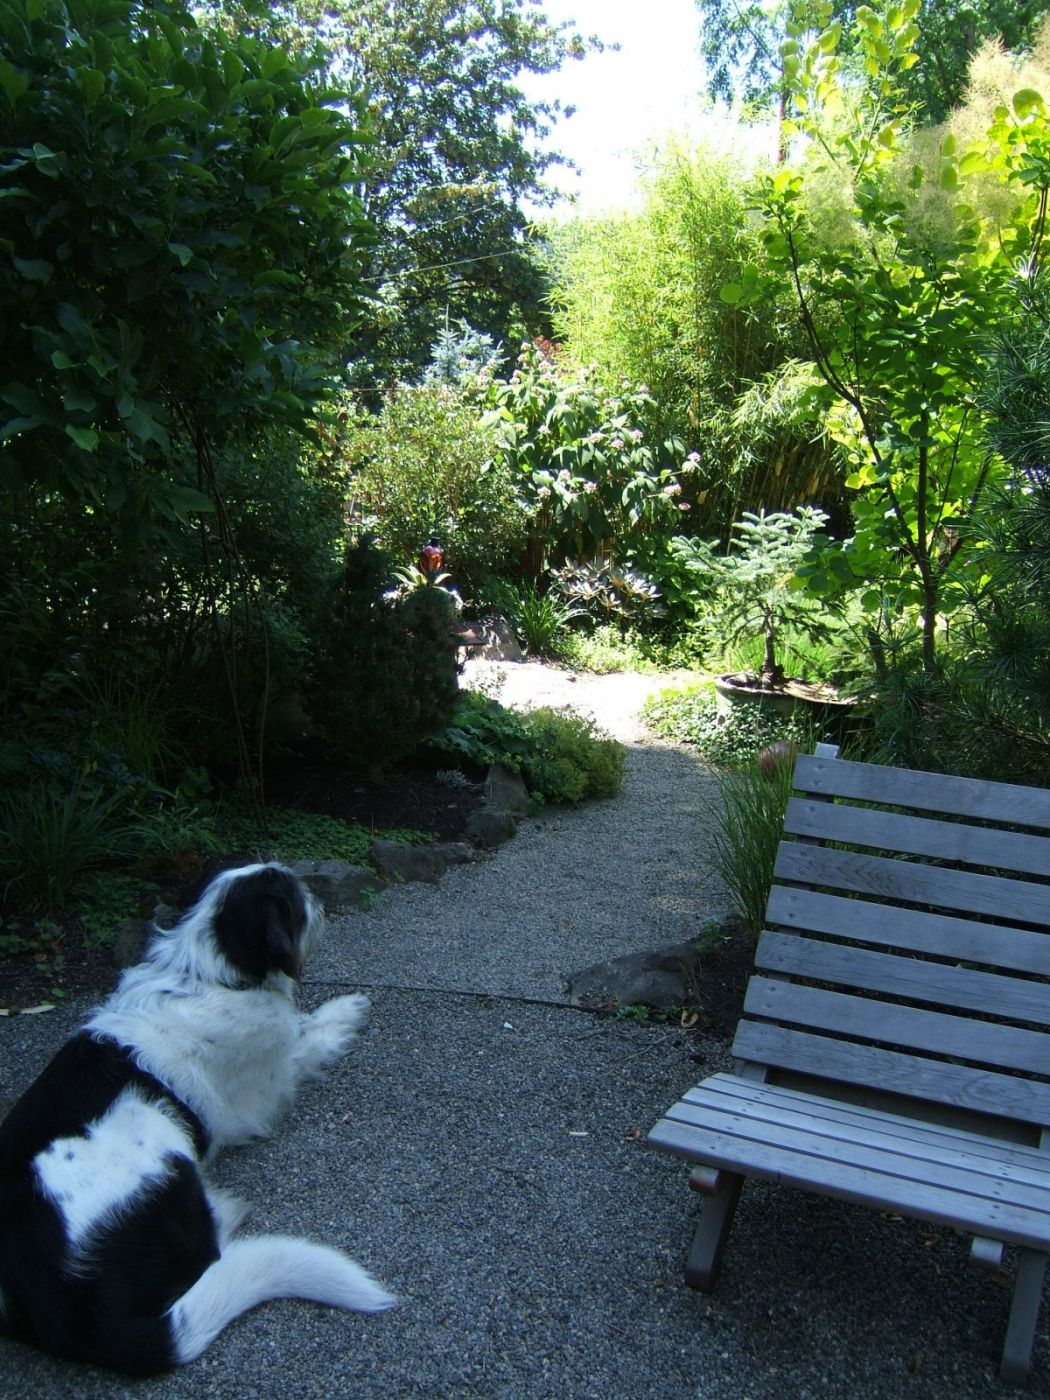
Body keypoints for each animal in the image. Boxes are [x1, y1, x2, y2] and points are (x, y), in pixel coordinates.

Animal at [0, 856, 397, 1372]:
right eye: (295, 897)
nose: (319, 899)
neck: (208, 975)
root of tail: (62, 1309)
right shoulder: (272, 1080)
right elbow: (309, 1035)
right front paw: (346, 1011)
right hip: (156, 1133)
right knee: (208, 1249)